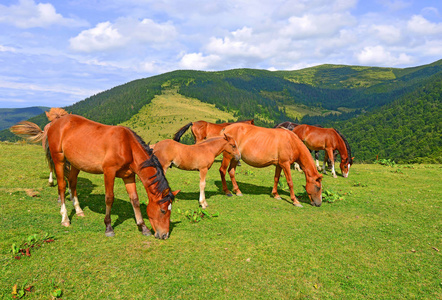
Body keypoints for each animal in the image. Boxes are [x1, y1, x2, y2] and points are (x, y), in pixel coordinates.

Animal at [36, 112, 178, 239]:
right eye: (163, 211)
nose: (164, 235)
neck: (127, 145)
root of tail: (56, 122)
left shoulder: (129, 176)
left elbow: (135, 200)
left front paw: (143, 227)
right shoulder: (109, 172)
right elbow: (109, 198)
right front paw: (109, 228)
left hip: (75, 164)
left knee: (72, 183)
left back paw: (79, 210)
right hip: (58, 160)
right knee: (62, 186)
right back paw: (65, 218)